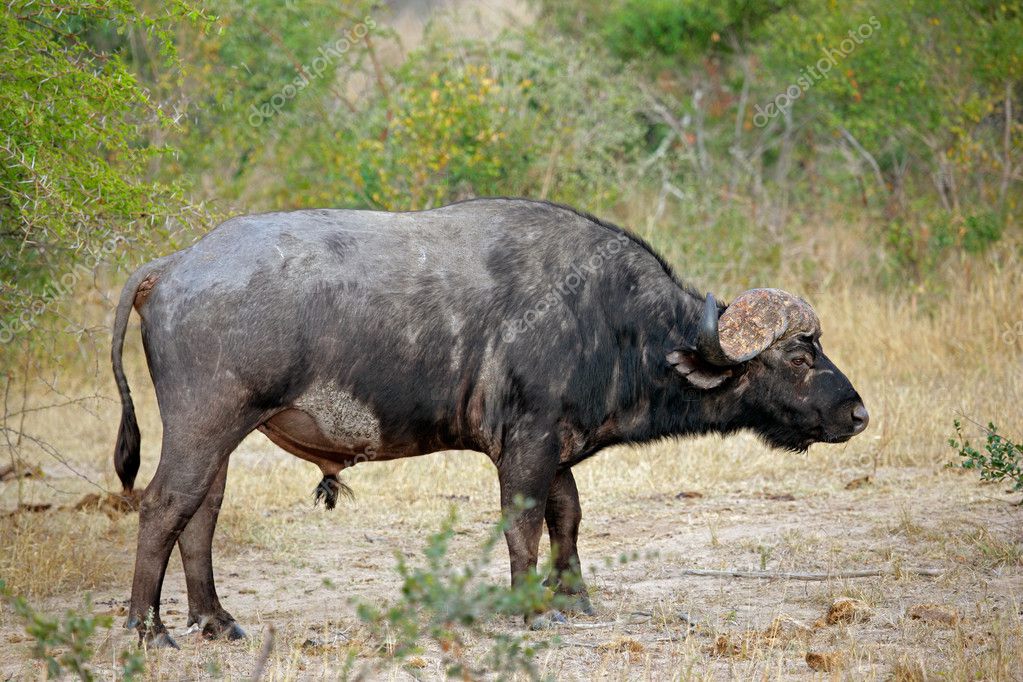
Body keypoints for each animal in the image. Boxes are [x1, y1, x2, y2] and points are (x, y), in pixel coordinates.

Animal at [109, 197, 863, 646]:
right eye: (800, 354)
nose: (855, 413)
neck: (611, 320)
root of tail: (173, 265)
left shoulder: (554, 448)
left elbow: (568, 516)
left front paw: (572, 596)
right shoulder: (524, 447)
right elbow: (523, 525)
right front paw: (529, 606)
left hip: (222, 437)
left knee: (201, 514)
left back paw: (214, 619)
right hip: (204, 425)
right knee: (164, 506)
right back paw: (146, 627)